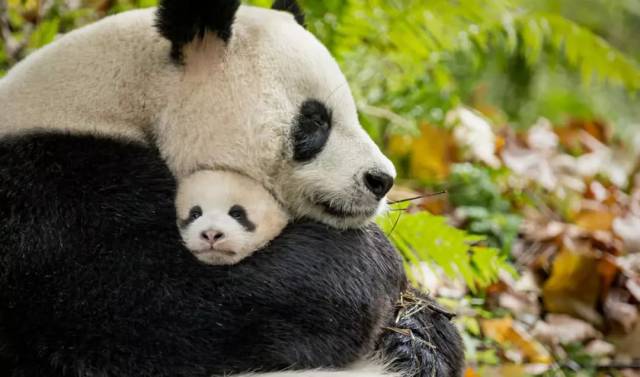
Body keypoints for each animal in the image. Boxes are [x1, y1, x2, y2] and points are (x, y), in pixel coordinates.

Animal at [0, 0, 462, 376]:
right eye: (314, 120)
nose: (381, 179)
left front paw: (416, 342)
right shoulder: (55, 204)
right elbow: (175, 305)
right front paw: (373, 261)